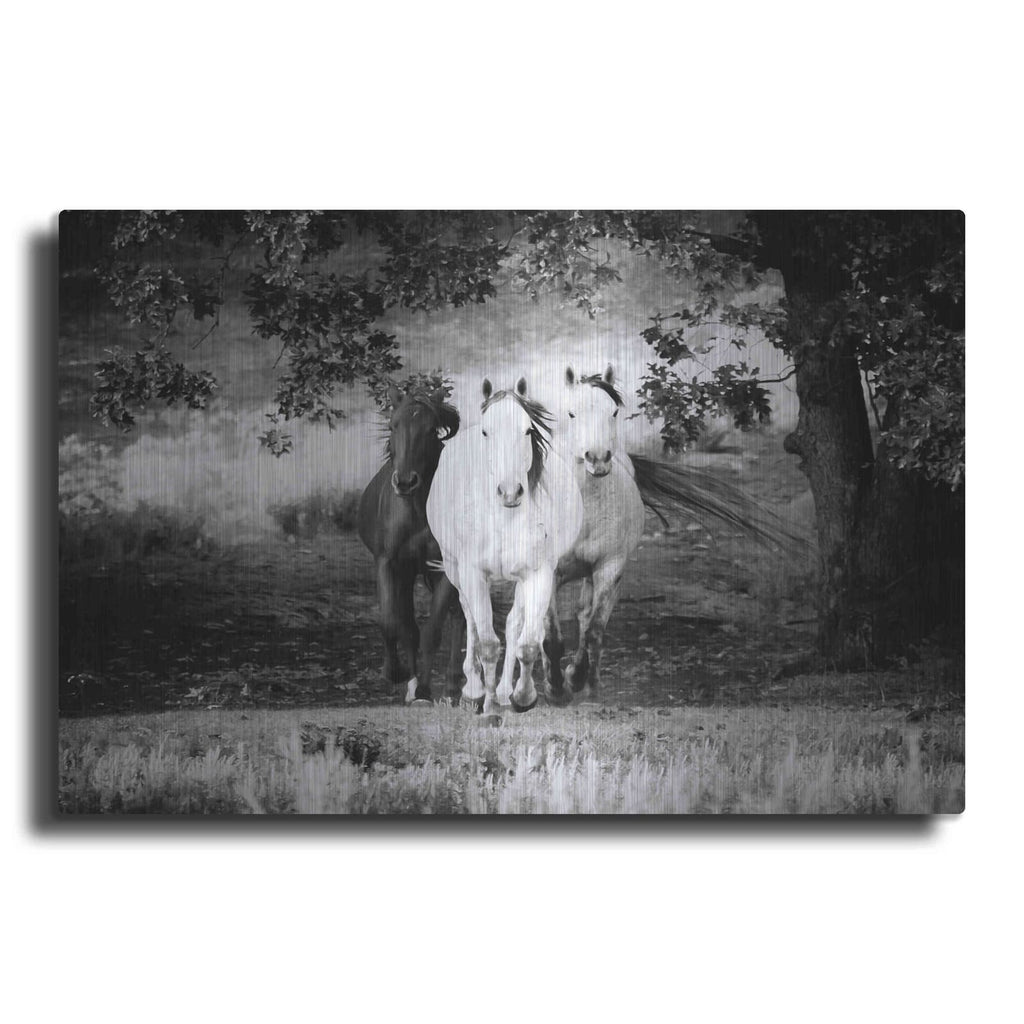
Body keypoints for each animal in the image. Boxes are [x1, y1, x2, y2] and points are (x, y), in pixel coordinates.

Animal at [357, 385, 464, 705]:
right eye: (393, 425)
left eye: (431, 430)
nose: (405, 482)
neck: (418, 510)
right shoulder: (390, 564)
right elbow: (394, 623)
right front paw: (395, 674)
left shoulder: (444, 568)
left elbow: (432, 630)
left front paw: (425, 690)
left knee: (460, 617)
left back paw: (453, 685)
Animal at [426, 376, 583, 721]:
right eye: (486, 432)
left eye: (528, 431)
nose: (510, 492)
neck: (504, 518)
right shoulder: (473, 573)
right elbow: (486, 641)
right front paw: (487, 705)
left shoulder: (537, 574)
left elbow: (527, 642)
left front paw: (522, 697)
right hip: (455, 569)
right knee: (470, 620)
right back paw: (473, 690)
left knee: (513, 625)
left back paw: (502, 690)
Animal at [540, 364, 800, 703]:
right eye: (571, 413)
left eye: (613, 411)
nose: (597, 458)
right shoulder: (548, 572)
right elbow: (551, 638)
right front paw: (555, 689)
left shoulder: (609, 568)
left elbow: (594, 629)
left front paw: (578, 679)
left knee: (586, 619)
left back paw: (587, 680)